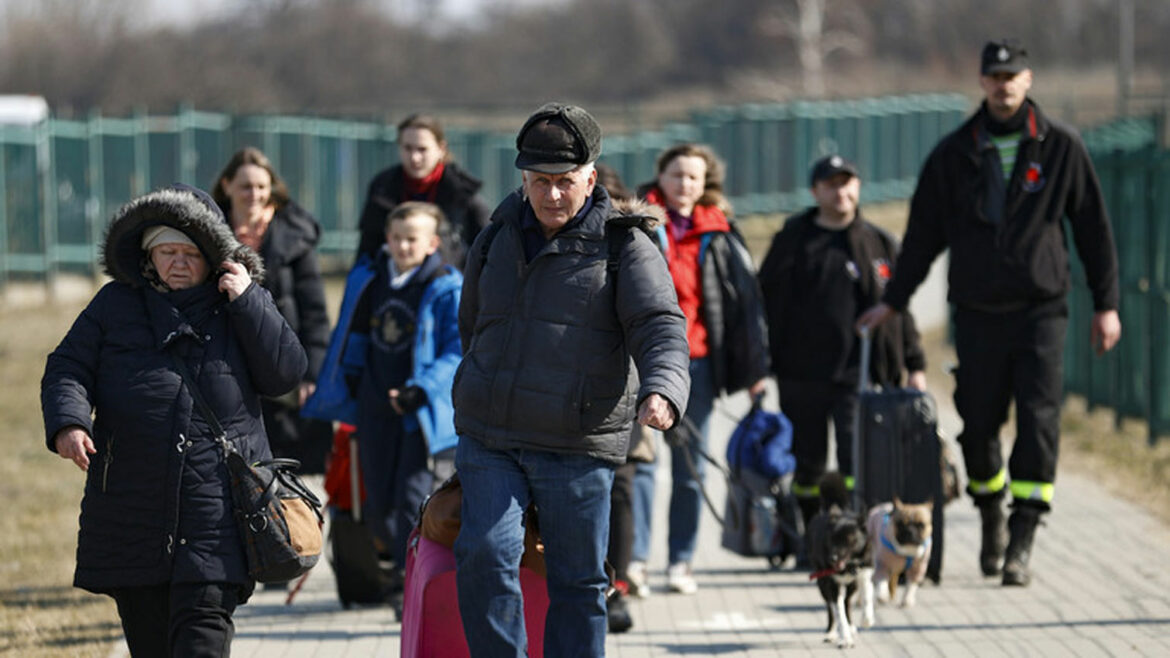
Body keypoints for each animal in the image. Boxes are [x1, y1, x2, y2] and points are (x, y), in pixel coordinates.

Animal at [809, 470, 875, 646]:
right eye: (832, 539)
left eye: (849, 538)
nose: (832, 558)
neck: (849, 566)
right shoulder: (831, 584)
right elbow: (838, 613)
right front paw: (844, 637)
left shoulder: (864, 573)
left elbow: (867, 596)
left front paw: (867, 619)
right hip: (822, 584)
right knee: (832, 608)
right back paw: (832, 632)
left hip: (852, 586)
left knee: (847, 602)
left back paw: (852, 626)